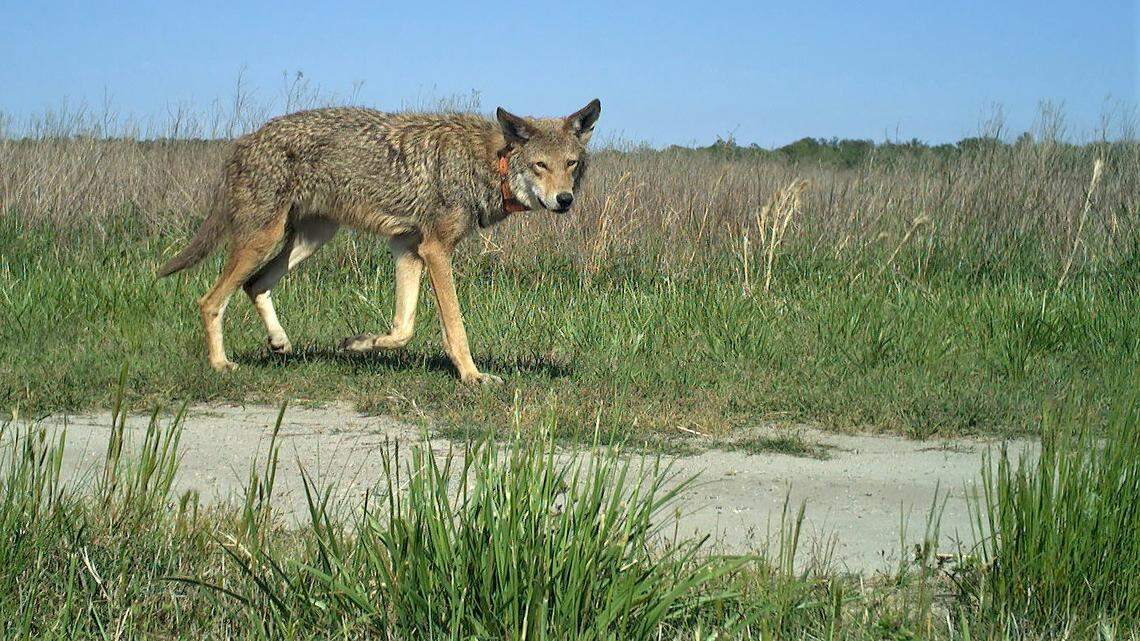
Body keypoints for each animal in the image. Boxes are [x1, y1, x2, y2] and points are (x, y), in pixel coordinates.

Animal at [157, 99, 601, 384]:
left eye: (571, 164)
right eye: (540, 165)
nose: (565, 200)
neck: (492, 163)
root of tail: (244, 140)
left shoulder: (408, 249)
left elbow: (403, 328)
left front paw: (358, 343)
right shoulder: (435, 251)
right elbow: (455, 327)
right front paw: (472, 376)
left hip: (310, 239)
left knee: (255, 285)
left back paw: (280, 342)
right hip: (263, 240)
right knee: (210, 300)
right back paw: (221, 365)